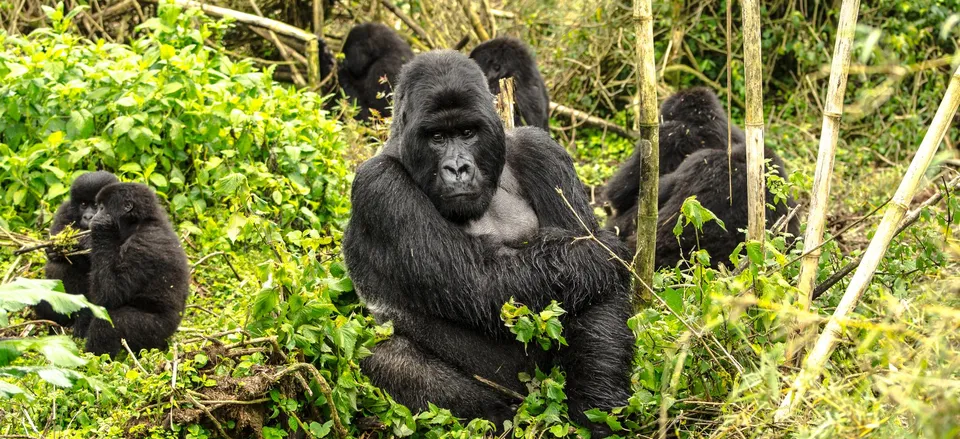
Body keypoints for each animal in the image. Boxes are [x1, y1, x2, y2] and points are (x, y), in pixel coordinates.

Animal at [74, 182, 190, 358]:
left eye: (101, 207)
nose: (92, 218)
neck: (139, 223)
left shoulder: (142, 246)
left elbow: (110, 293)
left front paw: (100, 229)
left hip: (155, 333)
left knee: (110, 320)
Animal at [344, 49, 636, 434]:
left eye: (468, 132)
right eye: (437, 137)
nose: (458, 169)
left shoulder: (540, 149)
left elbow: (599, 296)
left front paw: (598, 404)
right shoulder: (378, 186)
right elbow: (479, 284)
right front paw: (599, 253)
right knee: (385, 358)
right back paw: (498, 417)